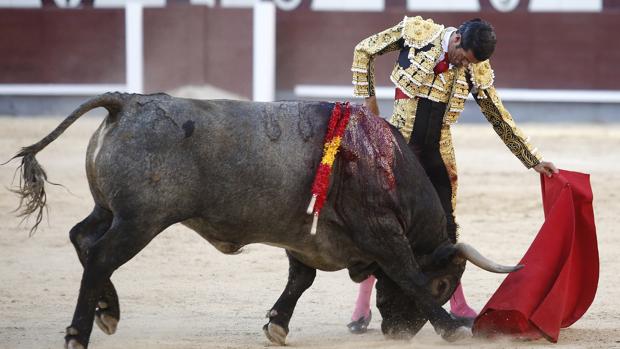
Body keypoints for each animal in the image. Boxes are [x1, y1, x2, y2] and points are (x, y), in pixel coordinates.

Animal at [10, 92, 520, 348]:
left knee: (82, 237)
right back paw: (80, 332)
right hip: (142, 220)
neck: (381, 163)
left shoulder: (305, 239)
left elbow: (300, 280)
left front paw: (277, 325)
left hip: (111, 211)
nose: (396, 334)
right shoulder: (382, 233)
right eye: (444, 284)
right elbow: (409, 275)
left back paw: (107, 311)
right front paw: (454, 328)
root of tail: (127, 102)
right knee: (100, 257)